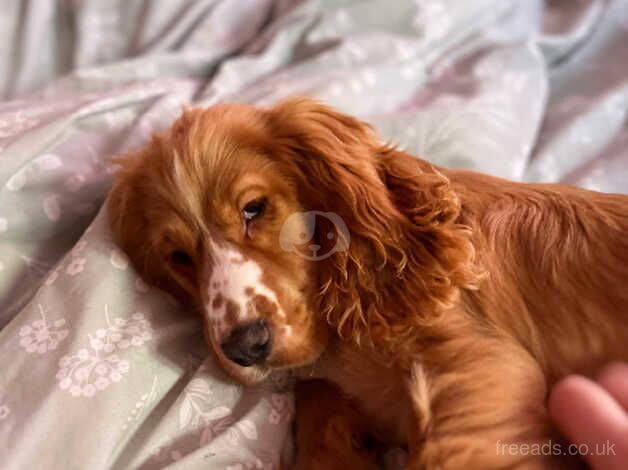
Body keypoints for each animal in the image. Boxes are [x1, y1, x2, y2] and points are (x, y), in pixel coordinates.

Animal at [108, 97, 628, 468]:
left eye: (253, 208)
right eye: (178, 256)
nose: (246, 347)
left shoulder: (481, 364)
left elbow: (454, 450)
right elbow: (317, 403)